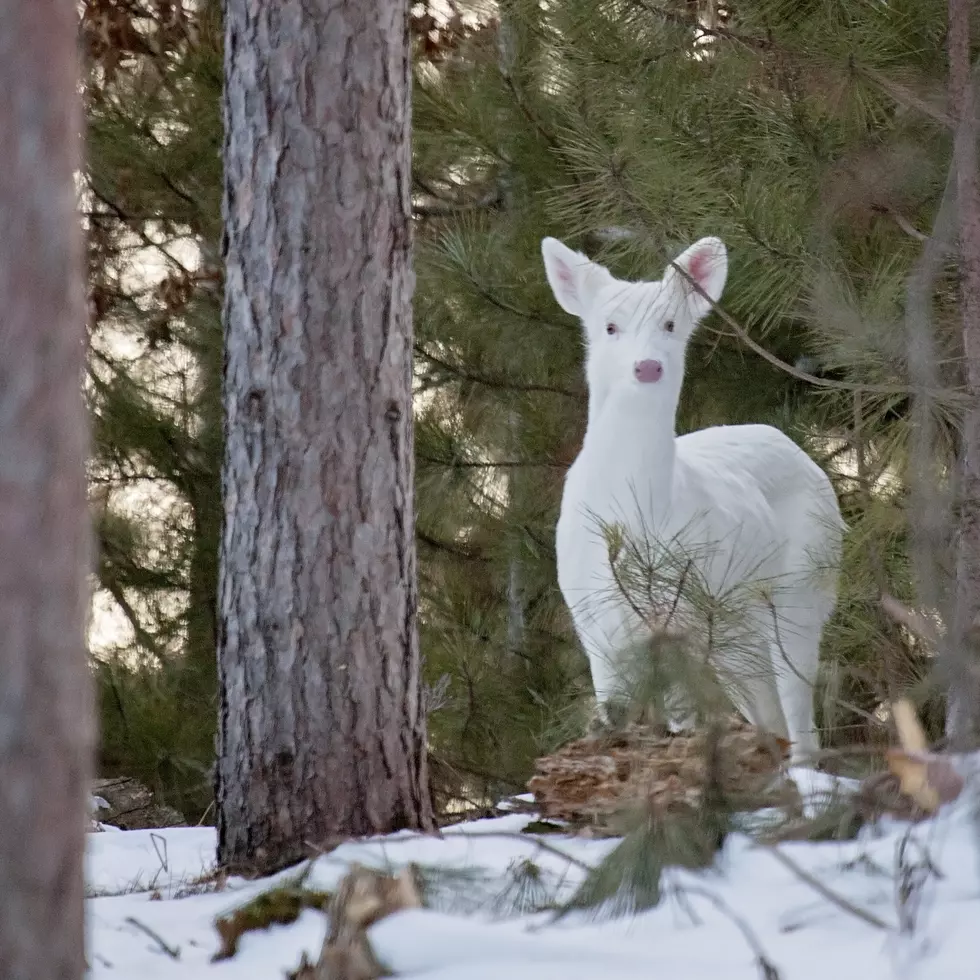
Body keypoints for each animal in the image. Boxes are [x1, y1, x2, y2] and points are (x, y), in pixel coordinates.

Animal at [540, 232, 848, 764]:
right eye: (609, 326)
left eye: (670, 323)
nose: (647, 366)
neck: (635, 512)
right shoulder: (592, 617)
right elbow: (614, 711)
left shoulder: (680, 618)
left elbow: (683, 716)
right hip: (733, 630)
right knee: (765, 708)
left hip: (804, 585)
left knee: (798, 704)